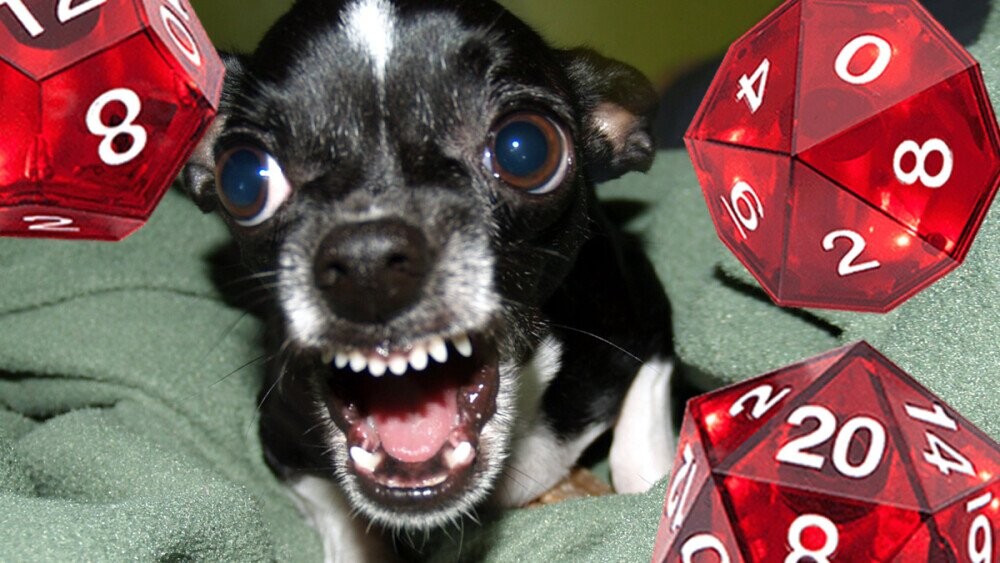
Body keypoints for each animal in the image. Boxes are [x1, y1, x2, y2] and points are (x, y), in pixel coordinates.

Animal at [183, 0, 675, 559]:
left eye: (524, 149)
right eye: (244, 180)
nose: (368, 260)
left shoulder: (645, 320)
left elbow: (643, 453)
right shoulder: (284, 442)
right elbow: (341, 518)